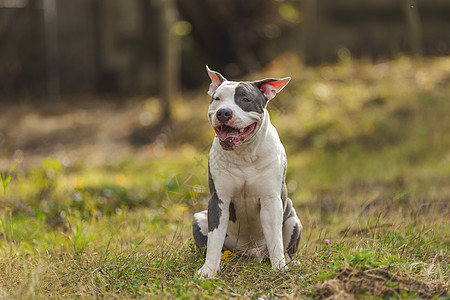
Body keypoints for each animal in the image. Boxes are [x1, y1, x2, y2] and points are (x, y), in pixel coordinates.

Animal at [193, 67, 302, 278]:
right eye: (217, 98)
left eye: (245, 99)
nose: (223, 112)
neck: (244, 155)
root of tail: (252, 254)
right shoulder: (218, 200)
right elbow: (214, 239)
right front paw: (208, 270)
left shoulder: (271, 201)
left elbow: (275, 239)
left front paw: (279, 268)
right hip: (199, 218)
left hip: (293, 219)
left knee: (286, 247)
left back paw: (291, 263)